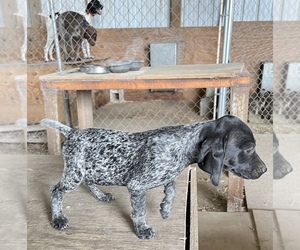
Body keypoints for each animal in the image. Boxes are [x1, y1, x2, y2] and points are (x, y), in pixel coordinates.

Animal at [40, 114, 268, 239]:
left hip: (90, 169)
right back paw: (58, 218)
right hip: (74, 173)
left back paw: (101, 196)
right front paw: (142, 229)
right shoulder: (137, 186)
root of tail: (73, 133)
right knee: (55, 191)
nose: (265, 170)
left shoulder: (166, 175)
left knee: (88, 181)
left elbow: (173, 189)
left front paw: (165, 209)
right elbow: (140, 212)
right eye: (249, 149)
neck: (185, 144)